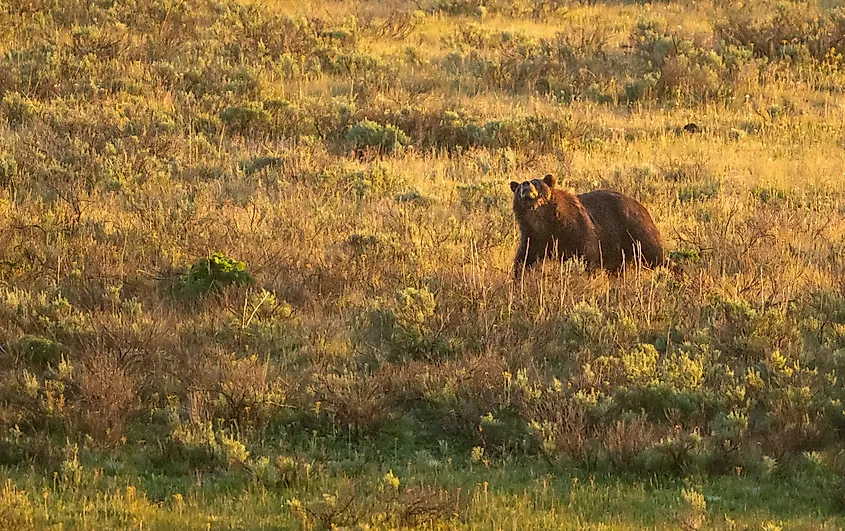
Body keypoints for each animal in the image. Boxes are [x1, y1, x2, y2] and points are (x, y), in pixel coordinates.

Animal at [510, 174, 665, 277]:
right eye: (518, 187)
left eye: (536, 182)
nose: (525, 184)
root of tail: (640, 205)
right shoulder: (533, 237)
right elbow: (525, 259)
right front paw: (519, 276)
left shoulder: (575, 228)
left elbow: (586, 253)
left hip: (634, 227)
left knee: (652, 251)